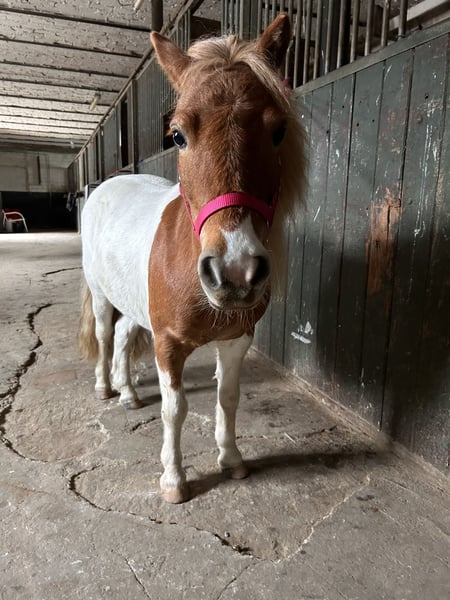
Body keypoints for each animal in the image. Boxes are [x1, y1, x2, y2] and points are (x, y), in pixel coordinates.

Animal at [78, 13, 306, 504]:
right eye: (178, 135)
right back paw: (105, 386)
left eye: (278, 130)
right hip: (102, 296)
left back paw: (128, 392)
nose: (236, 272)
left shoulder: (236, 339)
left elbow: (228, 398)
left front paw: (232, 460)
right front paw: (173, 479)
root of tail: (105, 186)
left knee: (122, 336)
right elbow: (175, 408)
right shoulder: (167, 344)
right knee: (106, 336)